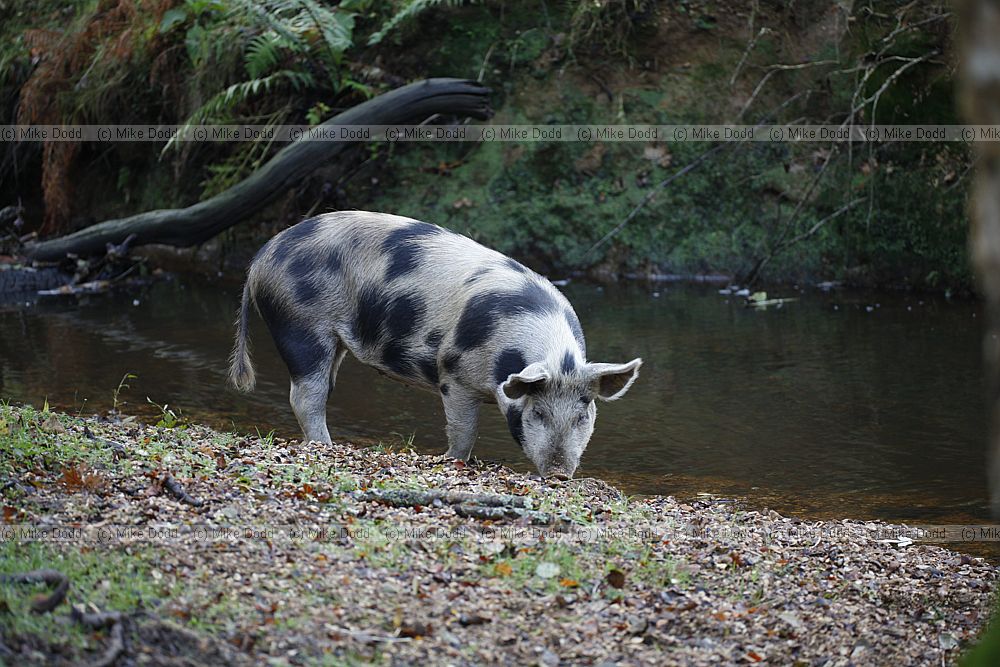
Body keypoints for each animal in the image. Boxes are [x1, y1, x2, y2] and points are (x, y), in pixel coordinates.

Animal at [228, 211, 642, 479]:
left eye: (583, 415)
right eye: (537, 413)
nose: (558, 473)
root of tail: (260, 260)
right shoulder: (453, 374)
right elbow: (463, 429)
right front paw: (454, 461)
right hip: (300, 325)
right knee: (304, 395)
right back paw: (326, 446)